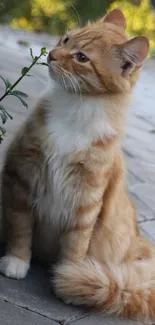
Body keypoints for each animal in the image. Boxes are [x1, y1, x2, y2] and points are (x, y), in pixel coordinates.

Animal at [0, 8, 154, 320]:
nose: (52, 55)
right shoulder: (22, 177)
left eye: (82, 57)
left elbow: (75, 247)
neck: (76, 107)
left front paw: (68, 278)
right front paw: (16, 261)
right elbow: (20, 229)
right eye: (66, 39)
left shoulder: (87, 200)